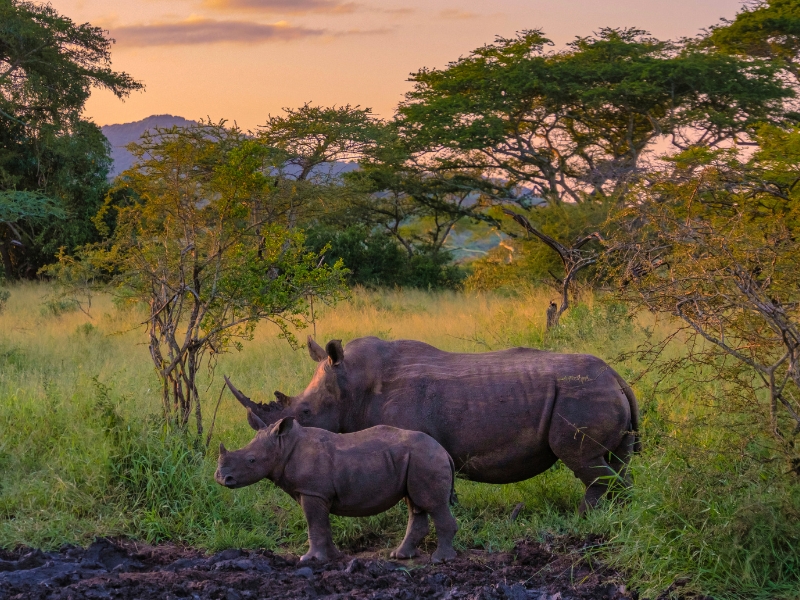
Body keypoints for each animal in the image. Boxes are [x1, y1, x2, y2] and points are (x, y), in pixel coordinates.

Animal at [217, 408, 456, 564]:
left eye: (251, 460)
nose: (221, 478)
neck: (284, 445)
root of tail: (445, 452)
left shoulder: (312, 491)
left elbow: (314, 524)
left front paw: (309, 560)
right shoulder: (317, 493)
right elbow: (322, 525)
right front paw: (334, 557)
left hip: (425, 459)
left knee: (432, 505)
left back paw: (440, 560)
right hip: (416, 459)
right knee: (415, 504)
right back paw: (401, 556)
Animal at [223, 336, 636, 508]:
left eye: (306, 413)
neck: (352, 383)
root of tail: (617, 377)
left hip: (580, 394)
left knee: (583, 461)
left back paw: (586, 517)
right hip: (598, 392)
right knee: (618, 462)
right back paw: (618, 514)